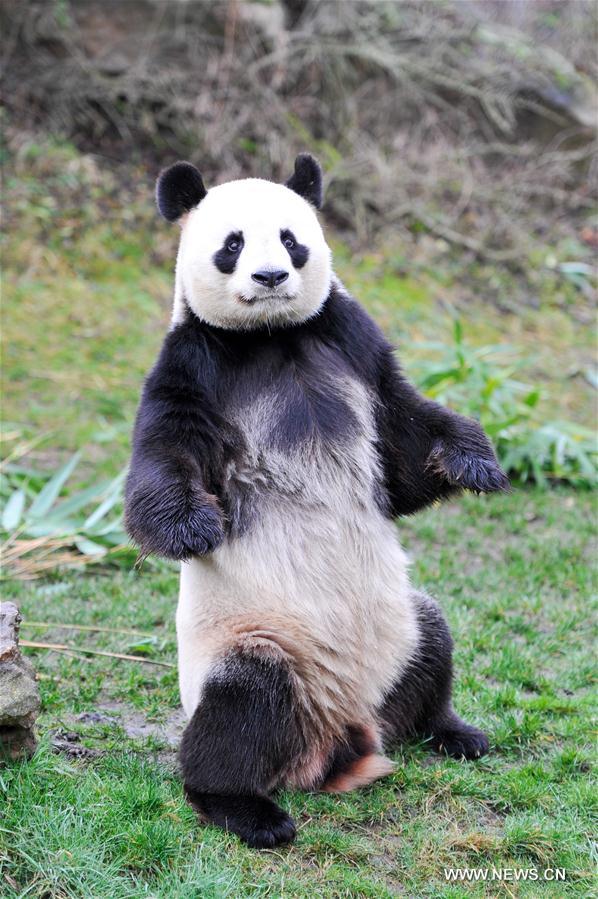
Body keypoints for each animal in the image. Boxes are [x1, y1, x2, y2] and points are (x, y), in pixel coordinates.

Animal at [125, 154, 509, 849]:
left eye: (290, 238)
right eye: (232, 244)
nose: (272, 276)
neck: (271, 336)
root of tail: (343, 732)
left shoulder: (351, 341)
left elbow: (404, 440)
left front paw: (474, 461)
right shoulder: (193, 363)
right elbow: (163, 458)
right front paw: (194, 528)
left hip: (398, 629)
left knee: (433, 645)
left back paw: (454, 731)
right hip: (258, 642)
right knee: (242, 707)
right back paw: (247, 811)